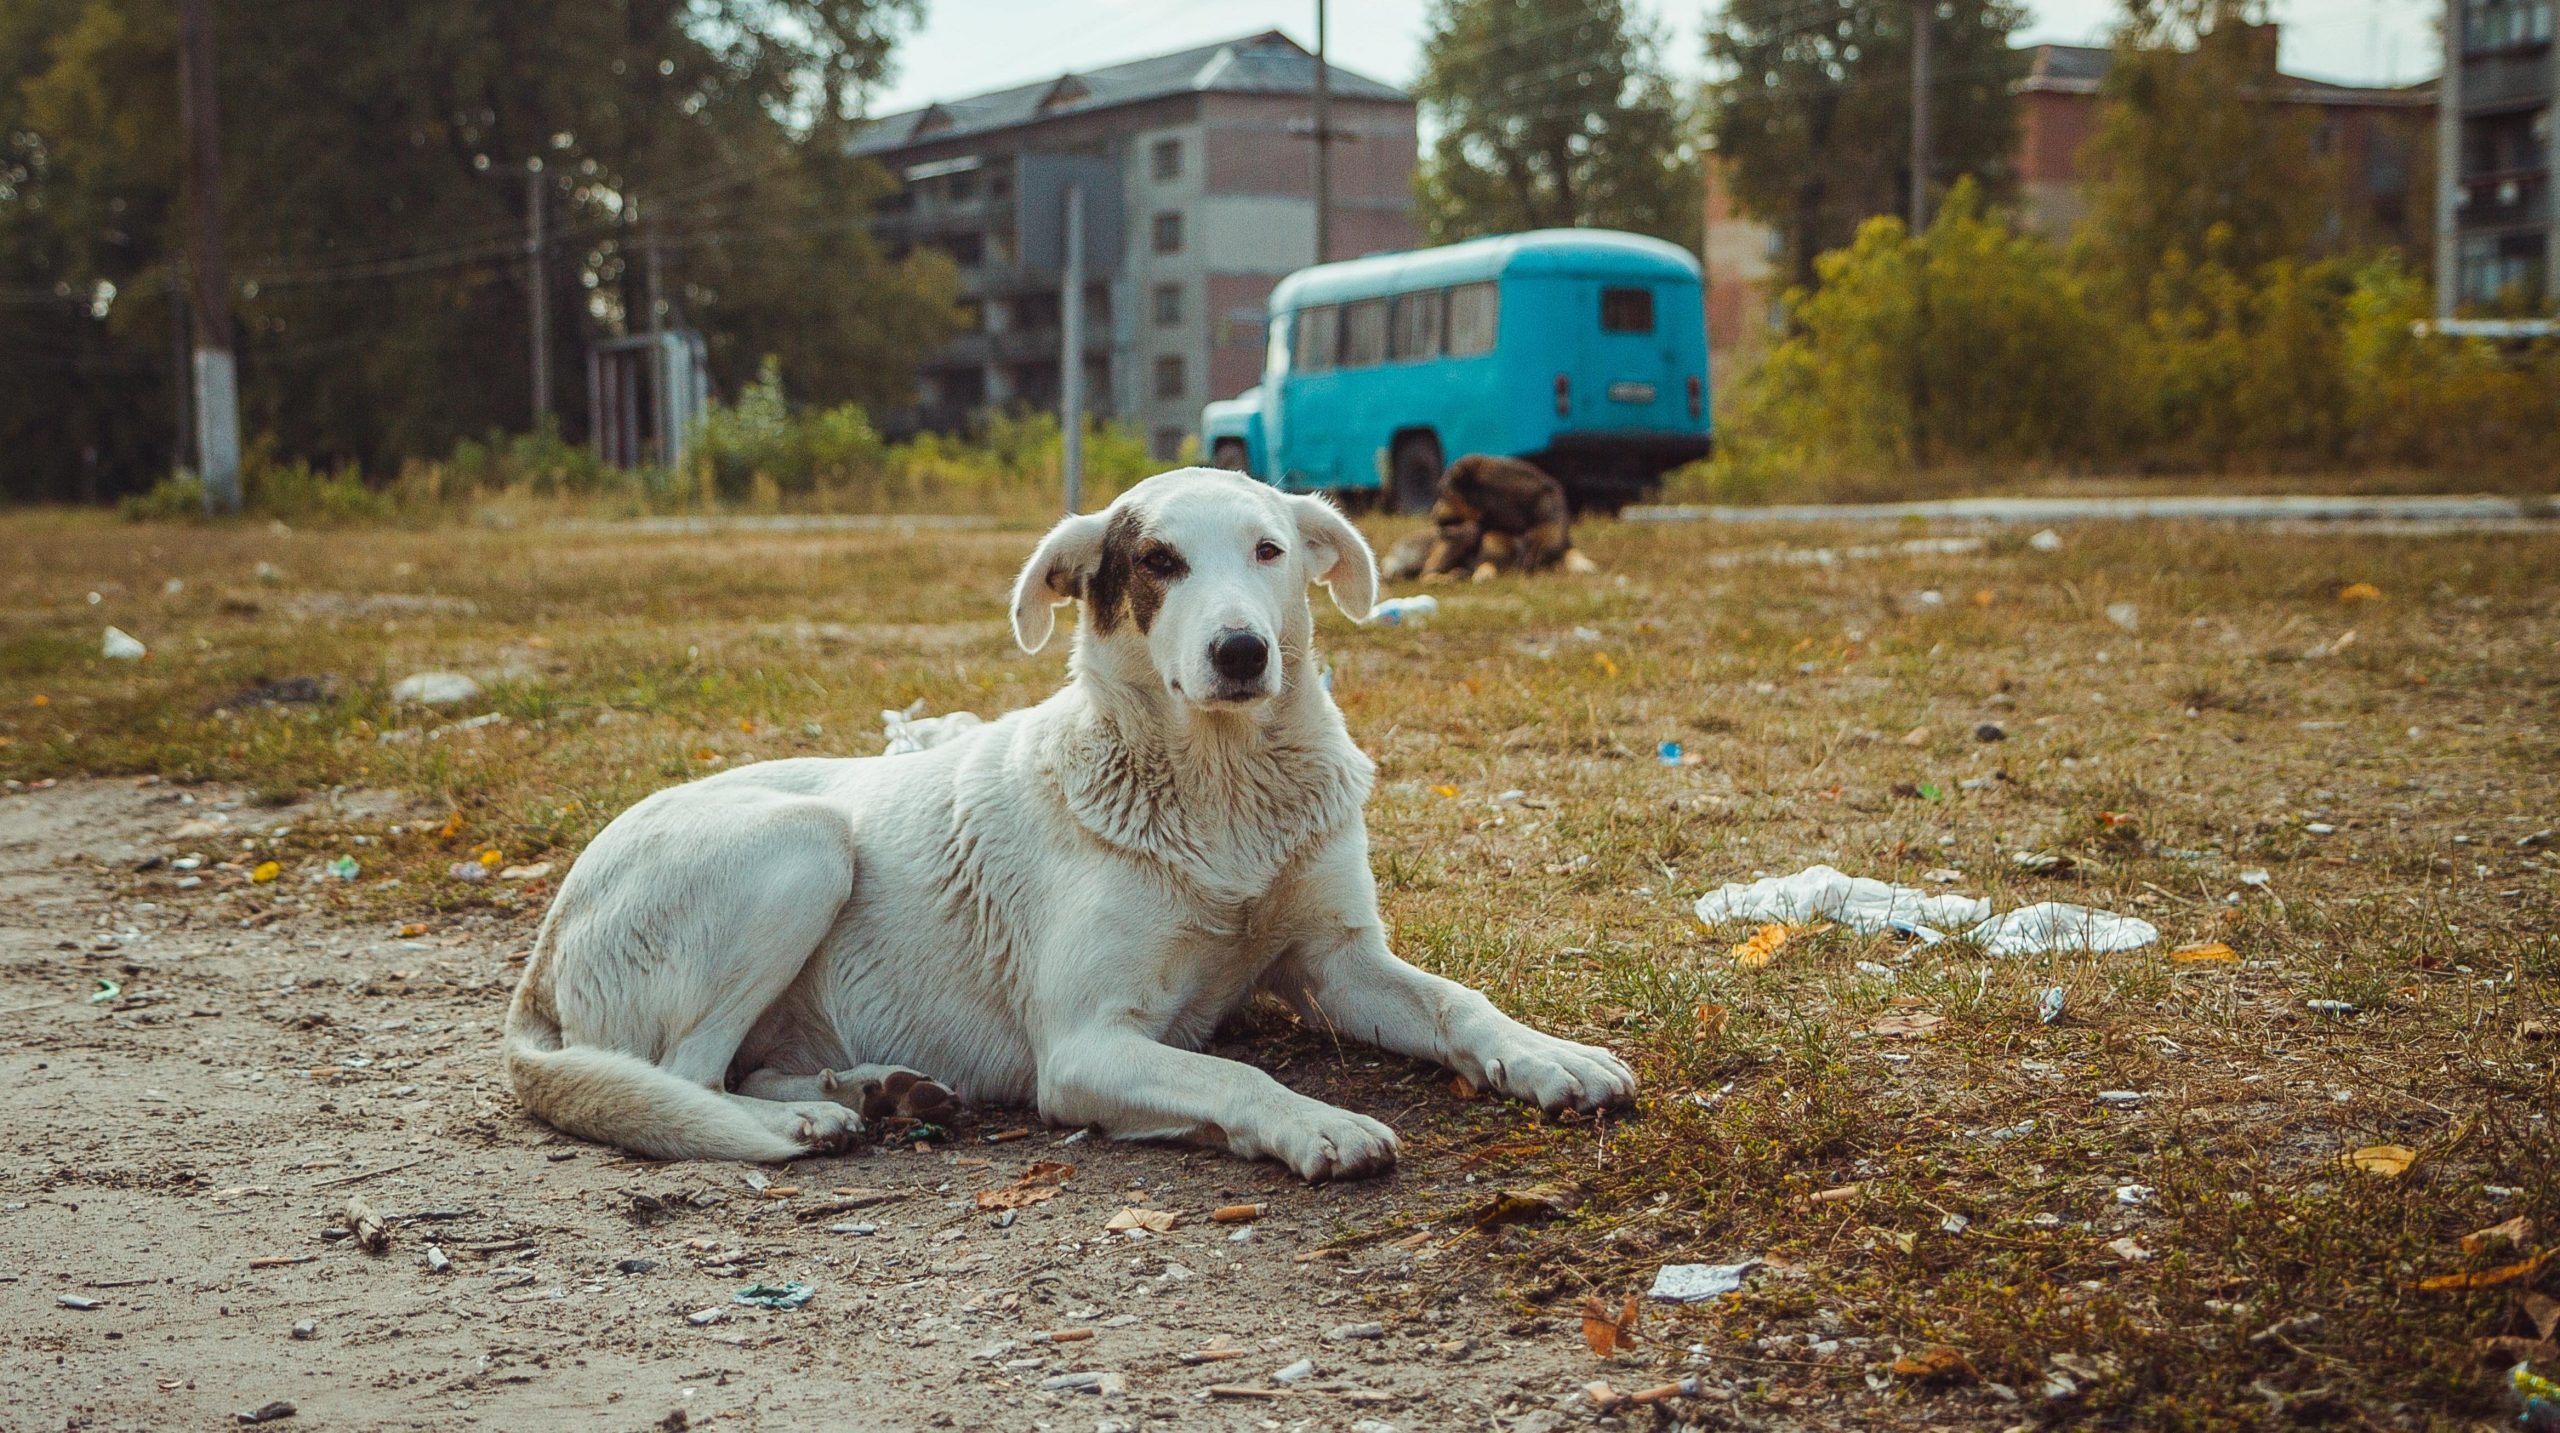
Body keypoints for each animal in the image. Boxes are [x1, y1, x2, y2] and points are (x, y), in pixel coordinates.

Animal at [504, 468, 1638, 1177]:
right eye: (1159, 562)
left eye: (1269, 550)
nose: (1241, 651)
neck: (1220, 788)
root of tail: (542, 952)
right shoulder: (1089, 1044)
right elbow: (1232, 1069)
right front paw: (1316, 1122)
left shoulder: (1339, 961)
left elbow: (1458, 1002)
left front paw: (1550, 1054)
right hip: (804, 844)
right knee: (684, 1076)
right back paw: (807, 1118)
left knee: (742, 1062)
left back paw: (879, 1088)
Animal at [1382, 450, 1597, 578]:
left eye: (1444, 494)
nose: (1432, 516)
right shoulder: (1490, 555)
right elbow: (1487, 566)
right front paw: (1481, 575)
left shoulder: (1555, 542)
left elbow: (1570, 553)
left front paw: (1583, 564)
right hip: (1464, 533)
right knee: (1427, 574)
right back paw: (1453, 576)